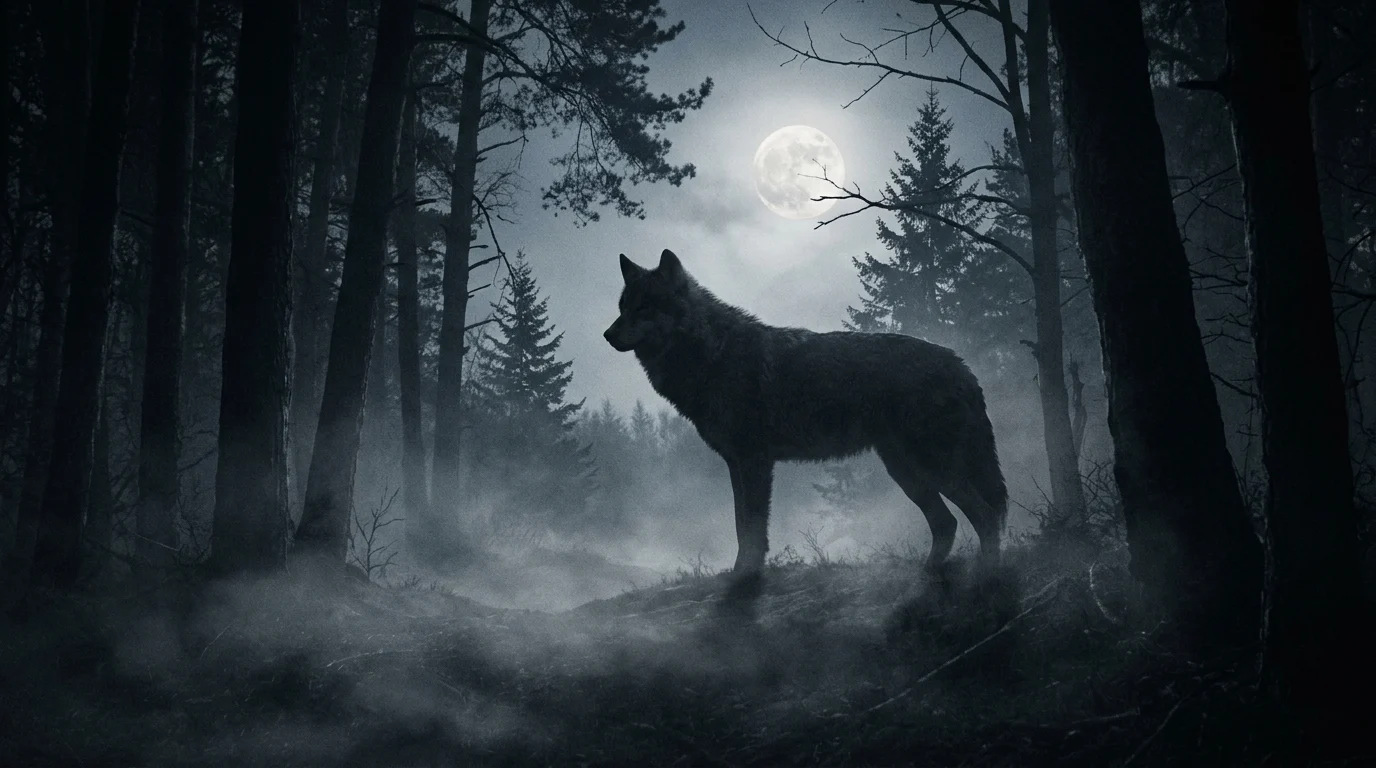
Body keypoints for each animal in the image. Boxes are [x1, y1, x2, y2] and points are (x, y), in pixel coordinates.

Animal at [604, 249, 1008, 575]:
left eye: (644, 307)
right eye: (622, 308)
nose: (607, 335)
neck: (711, 353)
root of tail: (961, 364)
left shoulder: (754, 461)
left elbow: (751, 529)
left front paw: (746, 575)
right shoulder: (736, 463)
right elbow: (740, 525)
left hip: (930, 467)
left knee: (986, 516)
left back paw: (986, 575)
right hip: (906, 472)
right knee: (948, 524)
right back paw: (926, 574)